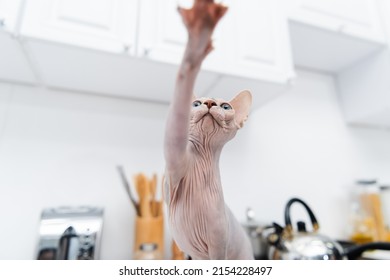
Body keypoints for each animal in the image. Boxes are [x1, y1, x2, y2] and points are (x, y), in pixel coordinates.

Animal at [164, 0, 253, 260]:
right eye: (196, 103)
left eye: (225, 106)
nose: (211, 103)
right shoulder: (174, 166)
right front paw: (197, 39)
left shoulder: (217, 246)